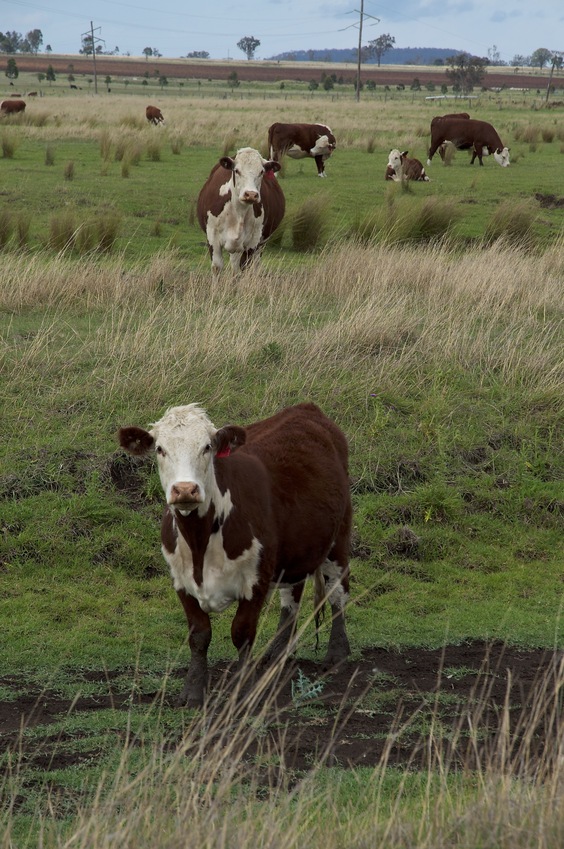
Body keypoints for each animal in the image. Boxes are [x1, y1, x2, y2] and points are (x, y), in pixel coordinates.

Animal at [118, 400, 352, 704]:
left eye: (207, 447)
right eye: (160, 448)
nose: (185, 489)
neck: (199, 542)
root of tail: (307, 408)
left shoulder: (255, 579)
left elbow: (242, 634)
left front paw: (244, 688)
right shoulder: (180, 581)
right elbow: (199, 634)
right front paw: (193, 691)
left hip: (339, 536)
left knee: (338, 590)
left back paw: (337, 655)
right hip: (297, 546)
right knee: (291, 596)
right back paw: (277, 654)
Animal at [198, 146, 286, 274]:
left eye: (261, 172)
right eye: (236, 170)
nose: (251, 194)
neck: (238, 212)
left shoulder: (253, 241)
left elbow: (246, 267)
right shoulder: (212, 236)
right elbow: (217, 267)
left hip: (261, 243)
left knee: (252, 264)